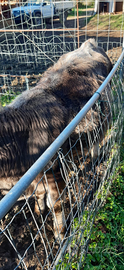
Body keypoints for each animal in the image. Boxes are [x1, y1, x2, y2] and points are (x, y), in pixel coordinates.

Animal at [0, 39, 112, 239]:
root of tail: (88, 42)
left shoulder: (55, 173)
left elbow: (57, 205)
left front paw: (60, 233)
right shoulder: (36, 179)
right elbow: (39, 196)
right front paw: (39, 210)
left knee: (97, 141)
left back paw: (95, 158)